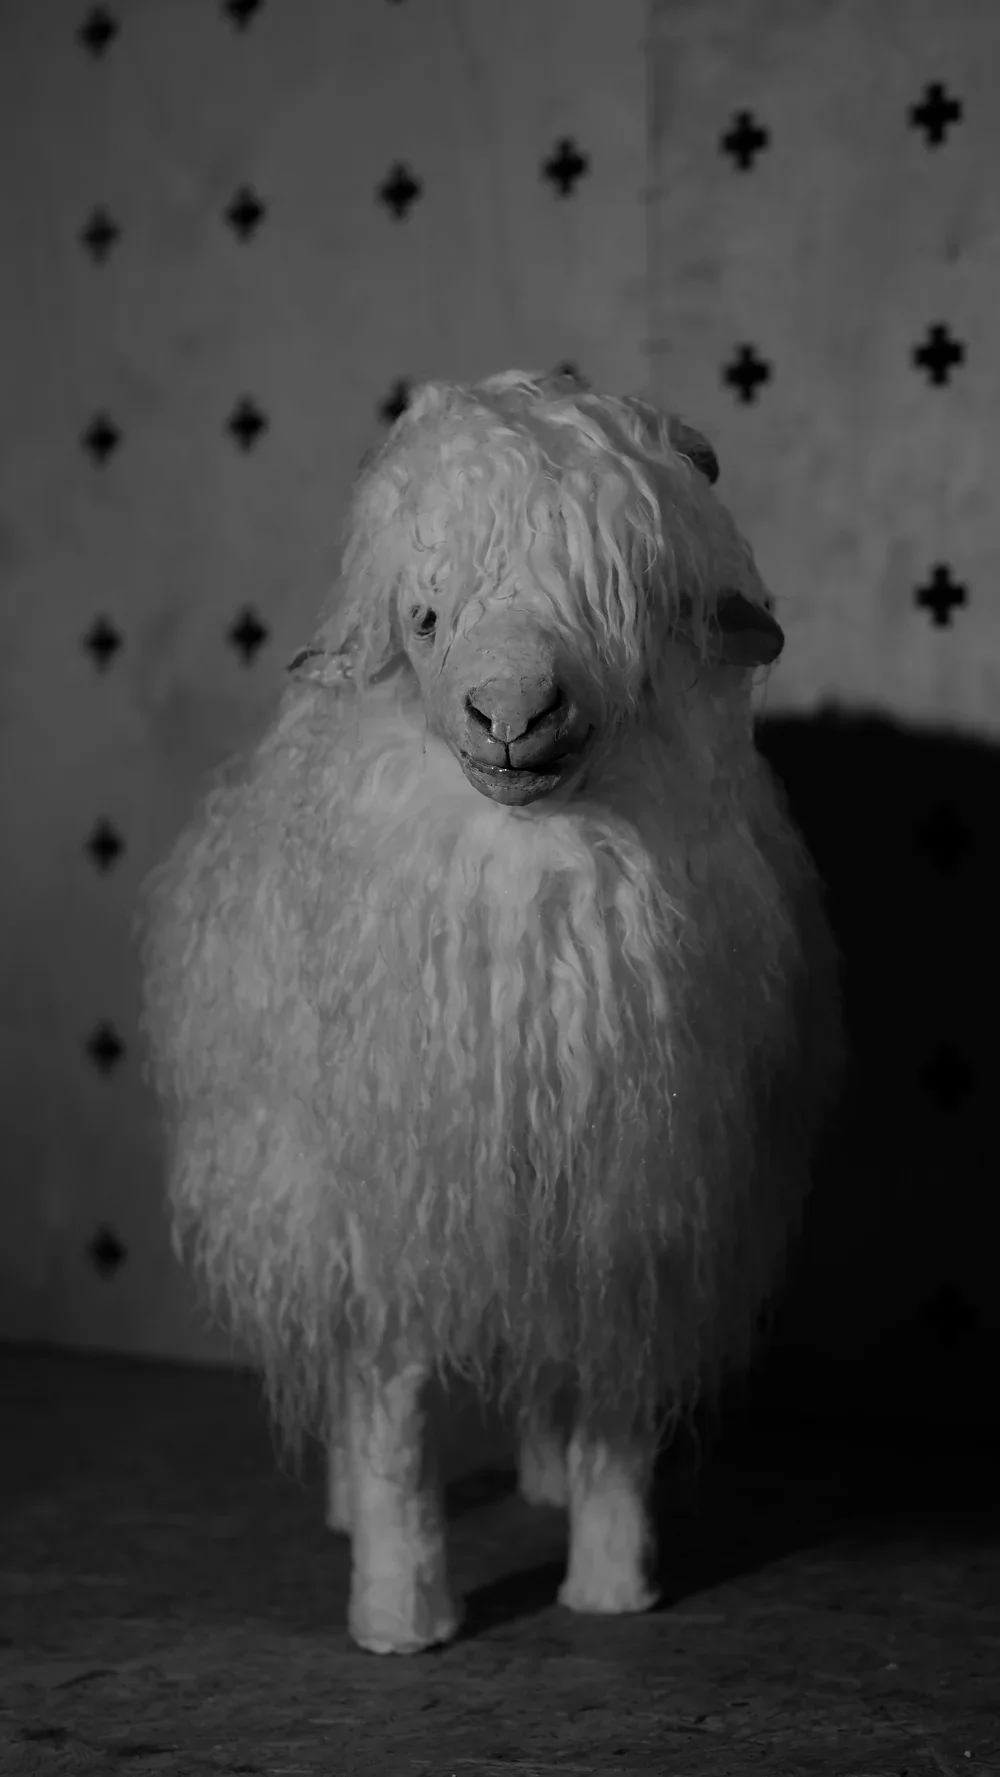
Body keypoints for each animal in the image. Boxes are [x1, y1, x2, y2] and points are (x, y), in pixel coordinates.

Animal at [137, 368, 843, 1656]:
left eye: (630, 609)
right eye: (423, 619)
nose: (509, 713)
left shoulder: (634, 1213)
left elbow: (615, 1412)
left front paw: (614, 1582)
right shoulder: (386, 1216)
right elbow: (396, 1420)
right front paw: (400, 1609)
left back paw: (547, 1477)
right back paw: (346, 1508)